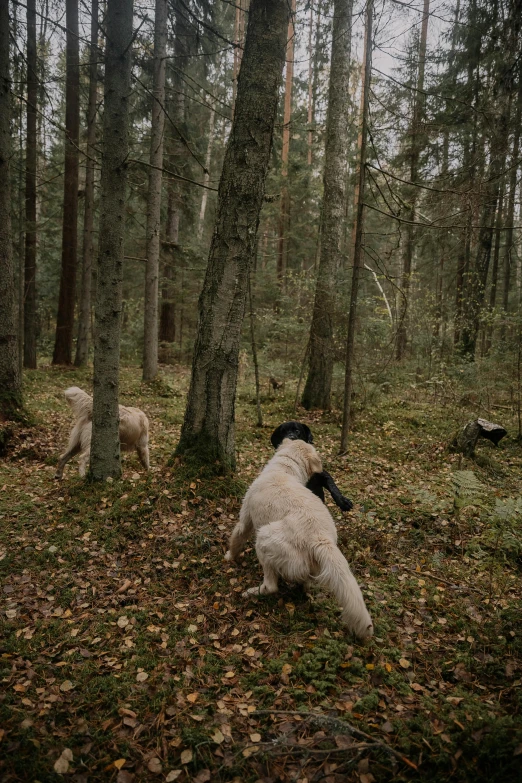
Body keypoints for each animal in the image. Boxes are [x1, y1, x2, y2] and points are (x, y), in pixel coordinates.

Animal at [223, 438, 370, 640]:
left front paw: (229, 557)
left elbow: (236, 539)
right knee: (306, 583)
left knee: (271, 586)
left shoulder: (246, 519)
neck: (285, 468)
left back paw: (251, 593)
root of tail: (320, 539)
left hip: (264, 538)